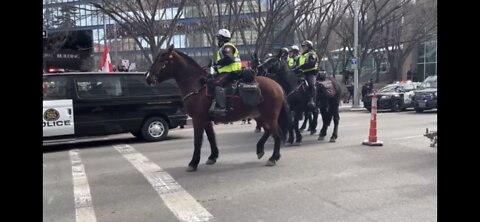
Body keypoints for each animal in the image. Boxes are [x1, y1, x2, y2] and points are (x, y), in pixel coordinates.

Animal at [146, 45, 290, 172]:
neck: (197, 86)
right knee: (268, 131)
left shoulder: (198, 119)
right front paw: (212, 157)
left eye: (162, 60)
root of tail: (277, 86)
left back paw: (273, 158)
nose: (148, 78)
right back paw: (260, 150)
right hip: (259, 115)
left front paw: (193, 163)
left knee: (277, 134)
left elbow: (197, 141)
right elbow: (211, 138)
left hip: (269, 116)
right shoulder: (206, 120)